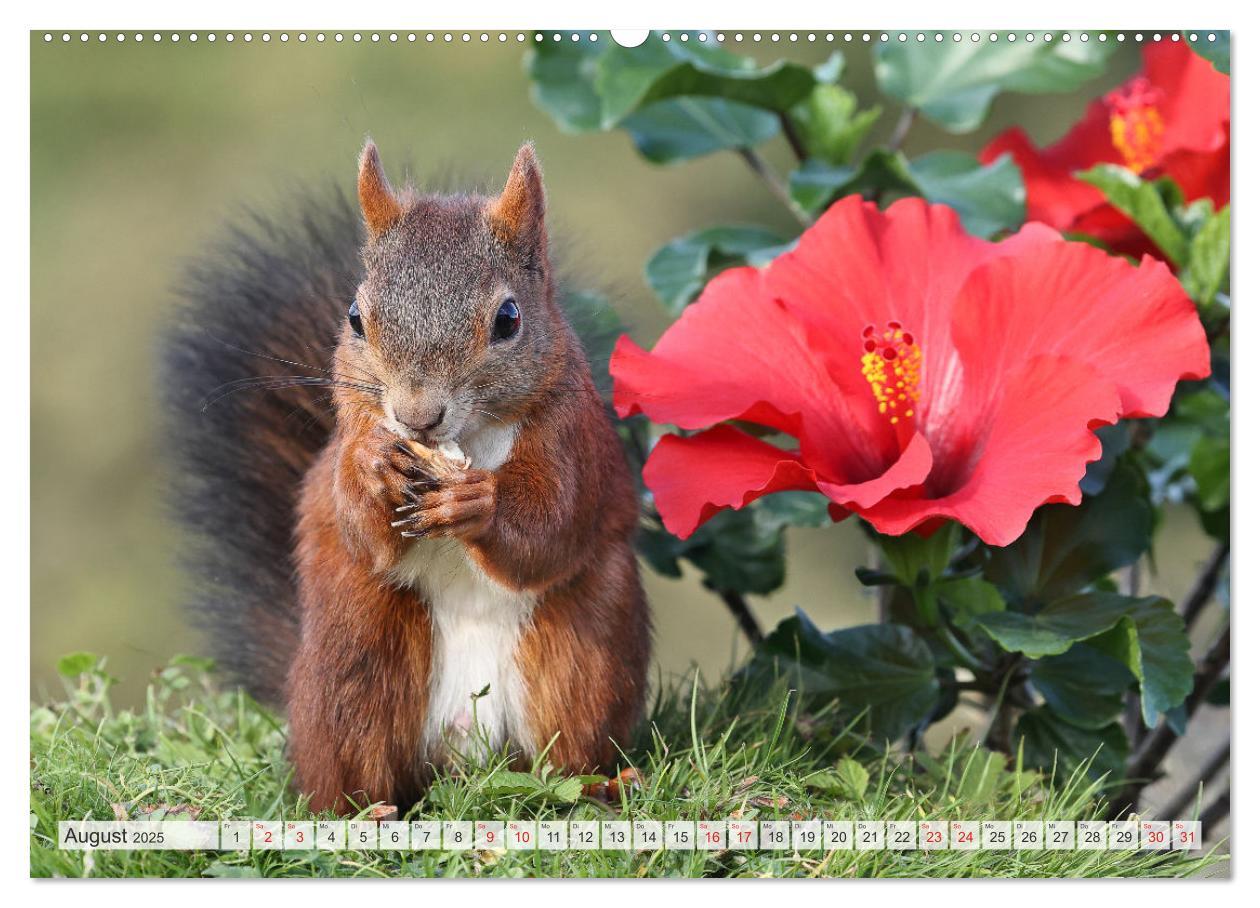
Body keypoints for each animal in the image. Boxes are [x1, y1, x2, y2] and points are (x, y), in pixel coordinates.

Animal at [165, 143, 650, 816]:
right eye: (354, 317)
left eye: (509, 319)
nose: (417, 416)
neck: (468, 438)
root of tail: (466, 762)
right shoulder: (344, 445)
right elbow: (357, 523)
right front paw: (375, 470)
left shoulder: (574, 445)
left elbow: (551, 527)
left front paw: (481, 502)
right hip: (355, 650)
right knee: (353, 758)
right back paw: (363, 810)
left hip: (585, 648)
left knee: (567, 750)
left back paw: (602, 783)